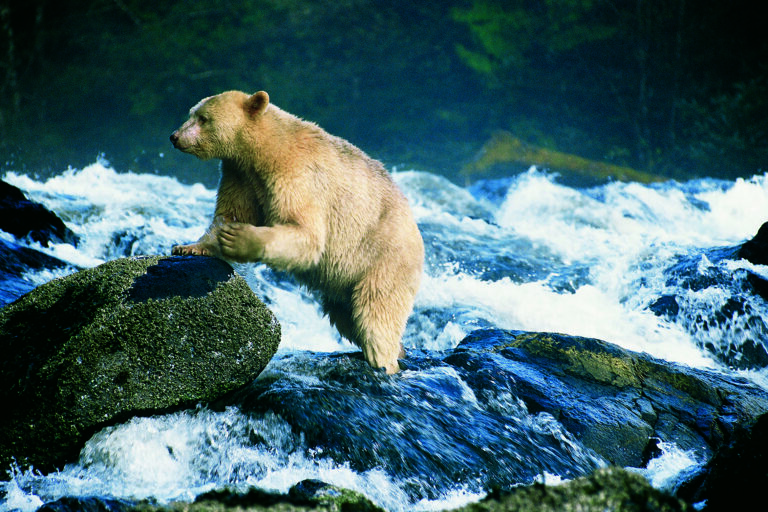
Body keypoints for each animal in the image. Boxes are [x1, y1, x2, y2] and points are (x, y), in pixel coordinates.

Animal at [170, 91, 424, 372]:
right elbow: (229, 213)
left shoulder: (295, 174)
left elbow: (305, 233)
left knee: (376, 316)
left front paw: (239, 238)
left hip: (384, 260)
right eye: (191, 113)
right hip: (347, 283)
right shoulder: (240, 175)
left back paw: (384, 361)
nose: (175, 136)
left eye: (203, 118)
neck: (261, 149)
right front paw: (189, 246)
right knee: (347, 316)